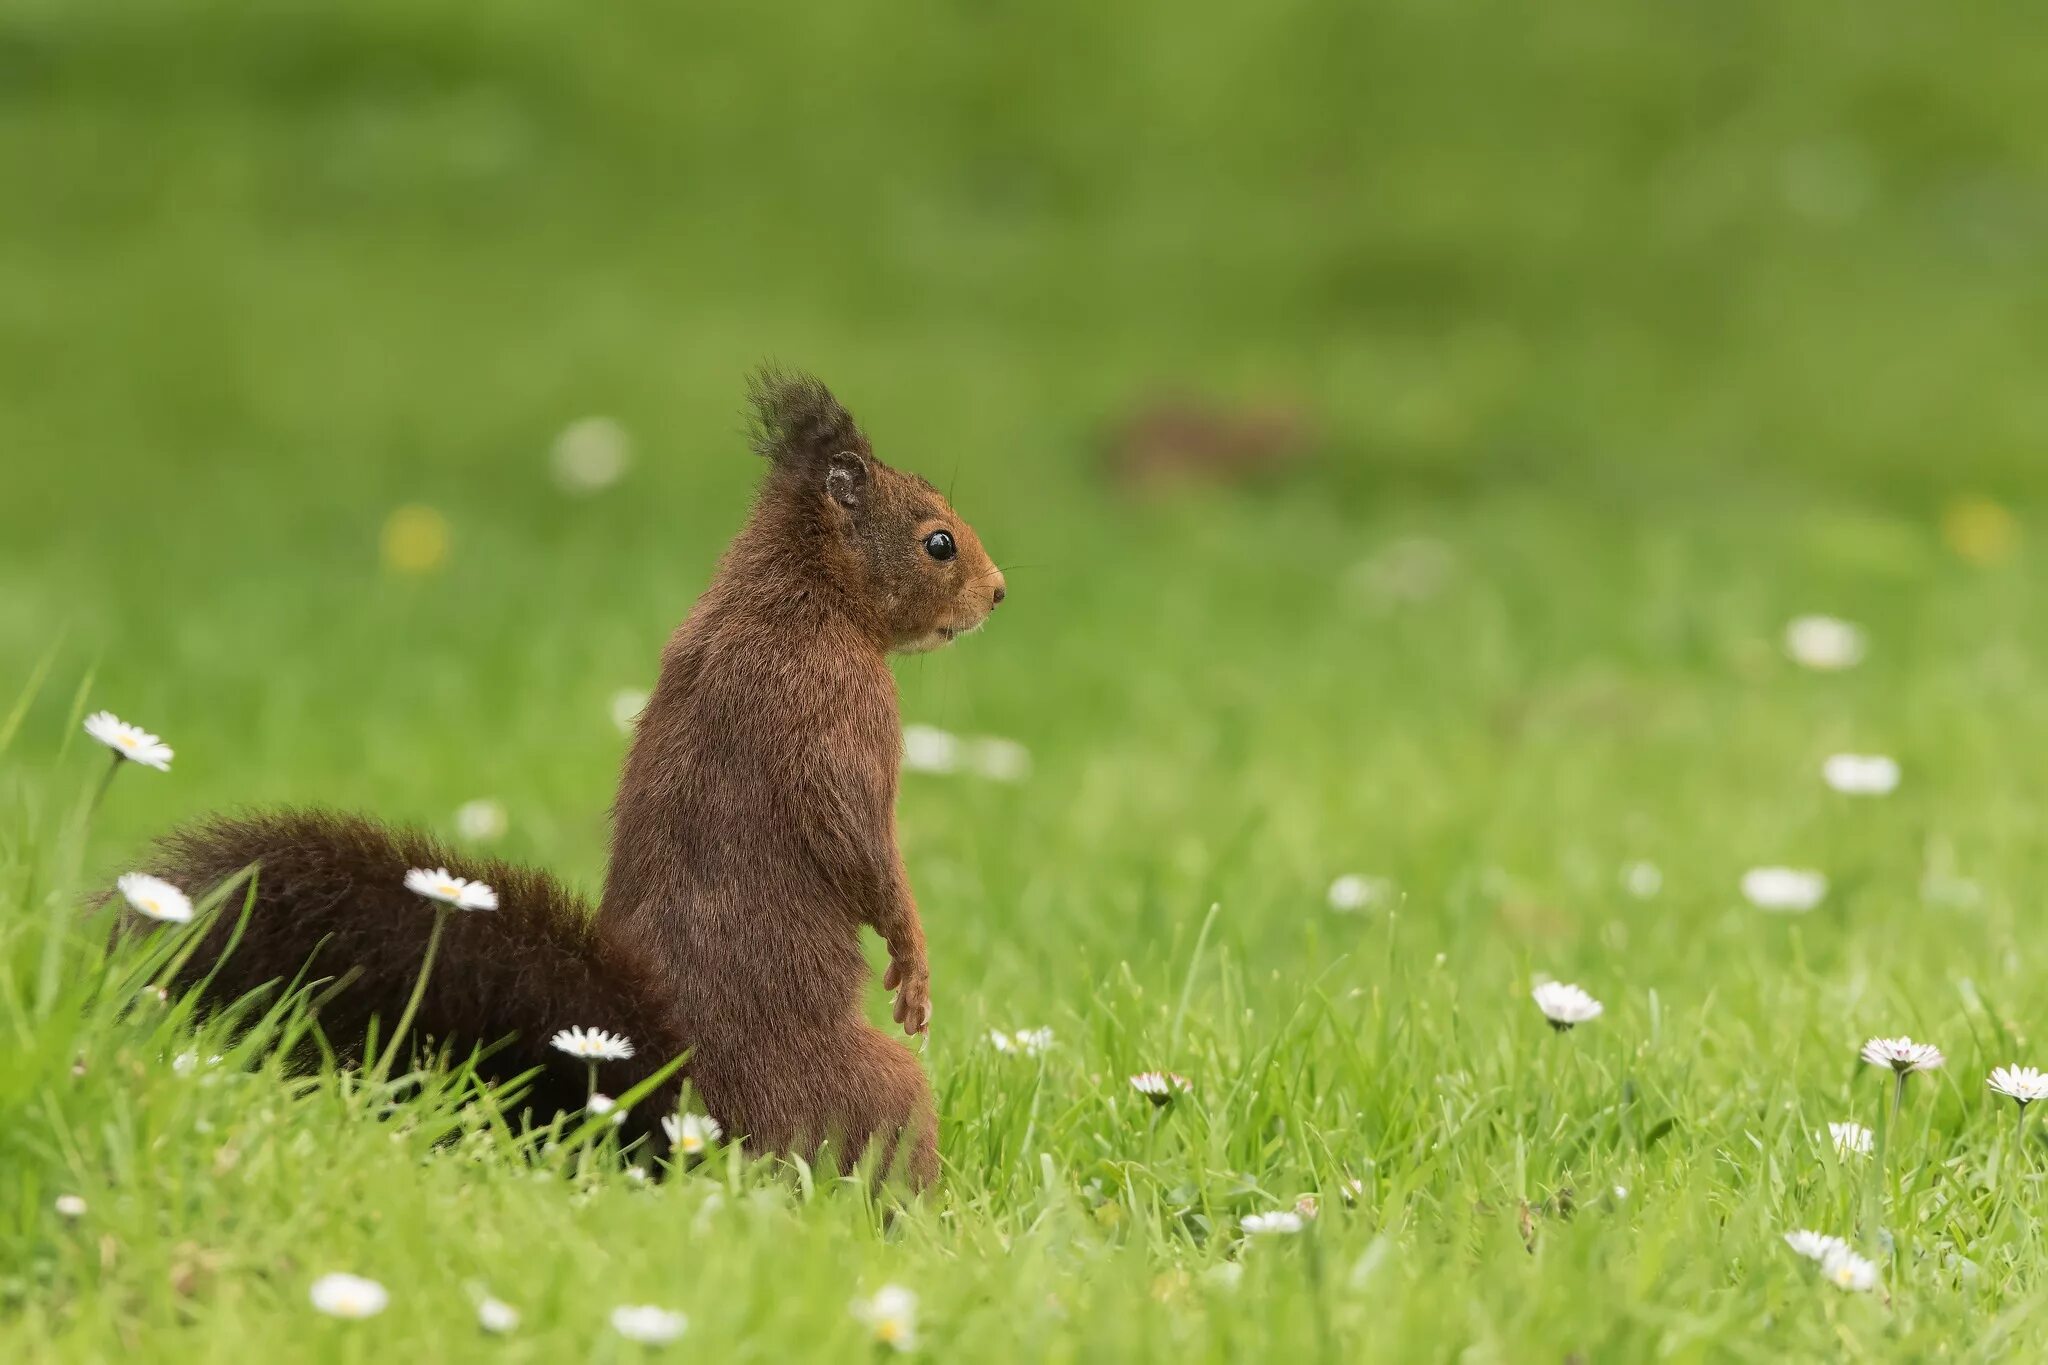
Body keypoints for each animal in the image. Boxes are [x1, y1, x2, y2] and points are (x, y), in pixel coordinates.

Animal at [132, 370, 1003, 1186]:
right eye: (938, 542)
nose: (998, 593)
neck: (798, 594)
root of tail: (677, 1101)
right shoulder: (845, 712)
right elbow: (863, 845)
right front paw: (914, 964)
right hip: (875, 1087)